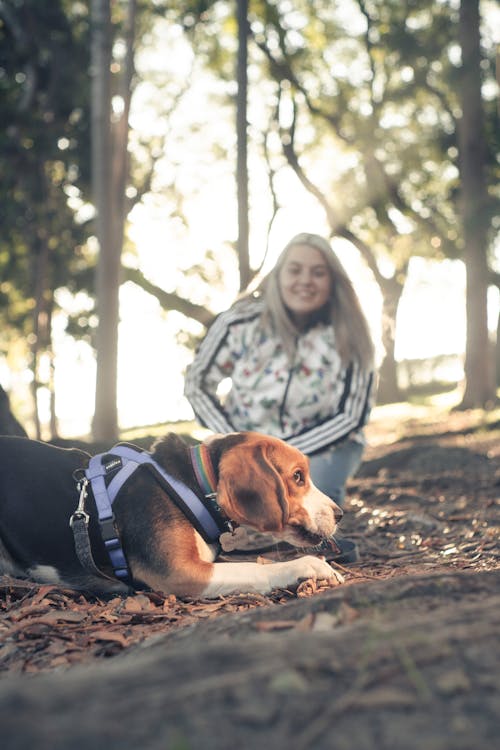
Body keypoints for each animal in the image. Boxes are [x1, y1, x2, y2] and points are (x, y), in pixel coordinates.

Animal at [0, 432, 344, 604]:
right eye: (297, 477)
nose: (340, 513)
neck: (192, 484)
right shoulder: (179, 572)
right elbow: (255, 569)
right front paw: (308, 567)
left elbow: (254, 562)